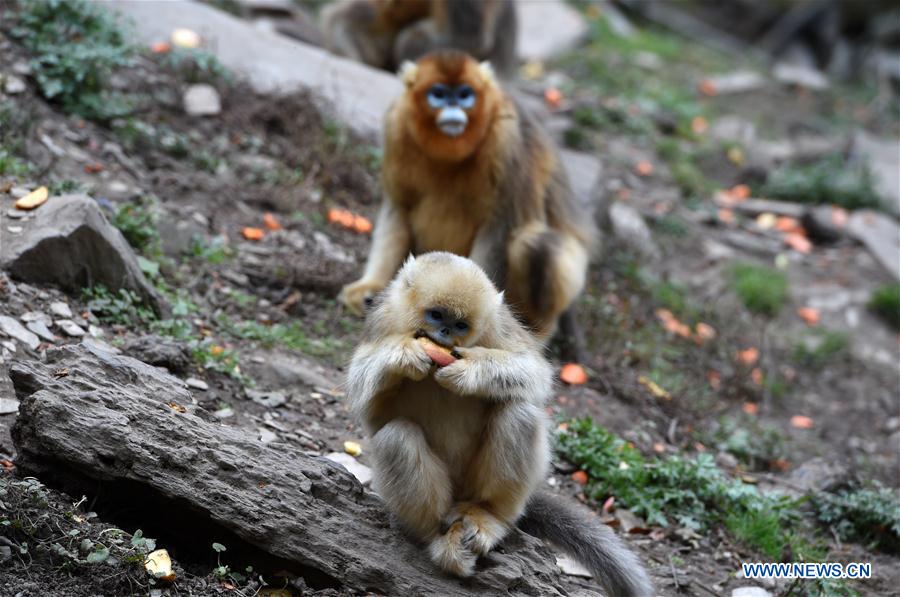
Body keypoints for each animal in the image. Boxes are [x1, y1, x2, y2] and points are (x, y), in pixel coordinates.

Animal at [339, 50, 592, 350]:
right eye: (438, 94)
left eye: (464, 94)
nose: (453, 106)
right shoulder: (397, 125)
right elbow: (399, 207)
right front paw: (372, 286)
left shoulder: (505, 137)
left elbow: (500, 228)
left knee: (537, 245)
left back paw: (537, 333)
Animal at [346, 252, 653, 596]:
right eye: (436, 315)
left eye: (460, 325)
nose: (445, 334)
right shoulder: (384, 318)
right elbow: (368, 404)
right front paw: (405, 356)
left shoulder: (498, 324)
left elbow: (535, 373)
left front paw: (470, 372)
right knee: (397, 436)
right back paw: (438, 537)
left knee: (519, 412)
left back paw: (486, 515)